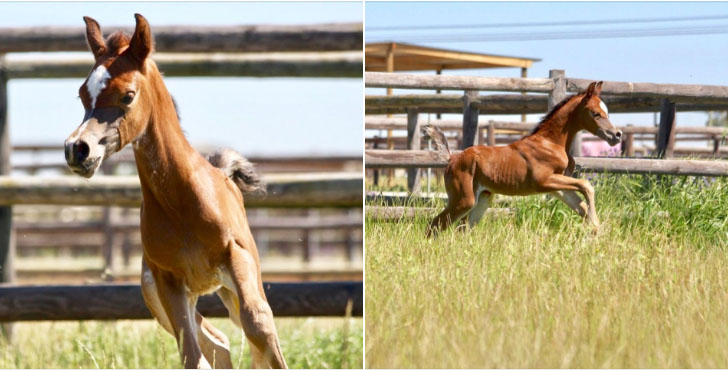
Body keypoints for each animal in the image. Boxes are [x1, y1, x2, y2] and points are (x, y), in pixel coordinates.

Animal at [63, 13, 288, 368]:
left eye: (128, 95)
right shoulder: (167, 281)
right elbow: (191, 353)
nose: (77, 149)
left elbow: (260, 326)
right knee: (216, 341)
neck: (182, 201)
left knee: (244, 330)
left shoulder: (238, 257)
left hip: (231, 285)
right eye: (83, 95)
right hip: (164, 298)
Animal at [424, 81, 624, 237]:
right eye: (595, 113)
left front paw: (596, 230)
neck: (550, 143)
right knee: (434, 225)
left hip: (481, 199)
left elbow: (581, 206)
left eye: (607, 112)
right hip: (463, 200)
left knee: (461, 228)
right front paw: (596, 226)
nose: (617, 135)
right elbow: (586, 185)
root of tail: (452, 158)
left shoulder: (557, 187)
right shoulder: (544, 181)